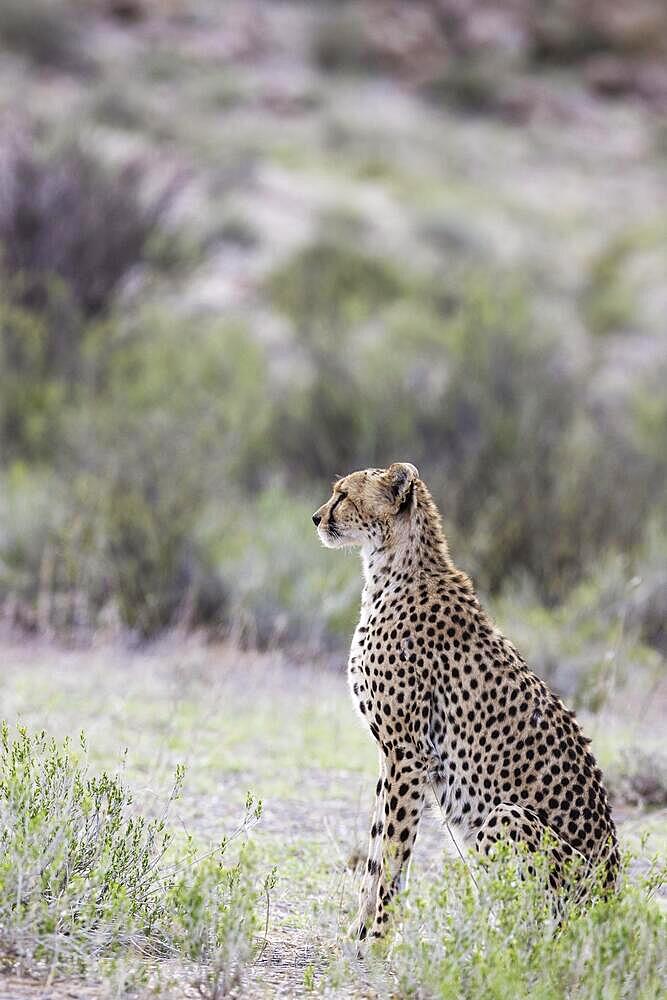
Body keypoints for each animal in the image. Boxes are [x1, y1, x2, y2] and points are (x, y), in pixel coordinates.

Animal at [314, 464, 620, 940]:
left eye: (343, 494)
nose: (315, 517)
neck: (390, 567)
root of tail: (613, 904)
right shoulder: (391, 754)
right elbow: (376, 850)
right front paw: (357, 936)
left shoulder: (409, 753)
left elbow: (393, 855)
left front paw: (378, 939)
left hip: (506, 818)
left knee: (536, 931)